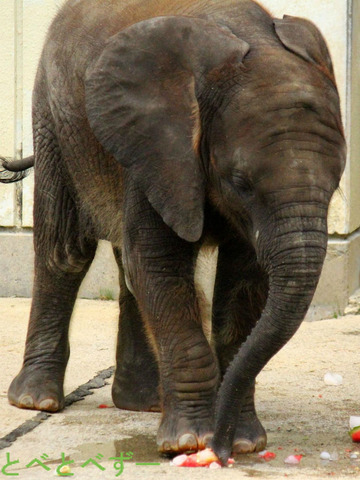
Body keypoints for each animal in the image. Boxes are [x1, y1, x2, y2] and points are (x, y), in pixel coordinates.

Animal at [4, 0, 344, 464]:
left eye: (337, 183)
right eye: (240, 182)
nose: (221, 448)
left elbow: (245, 282)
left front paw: (242, 441)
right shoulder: (160, 147)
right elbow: (158, 264)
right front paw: (190, 441)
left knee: (125, 268)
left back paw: (143, 403)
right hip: (54, 119)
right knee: (65, 252)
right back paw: (36, 401)